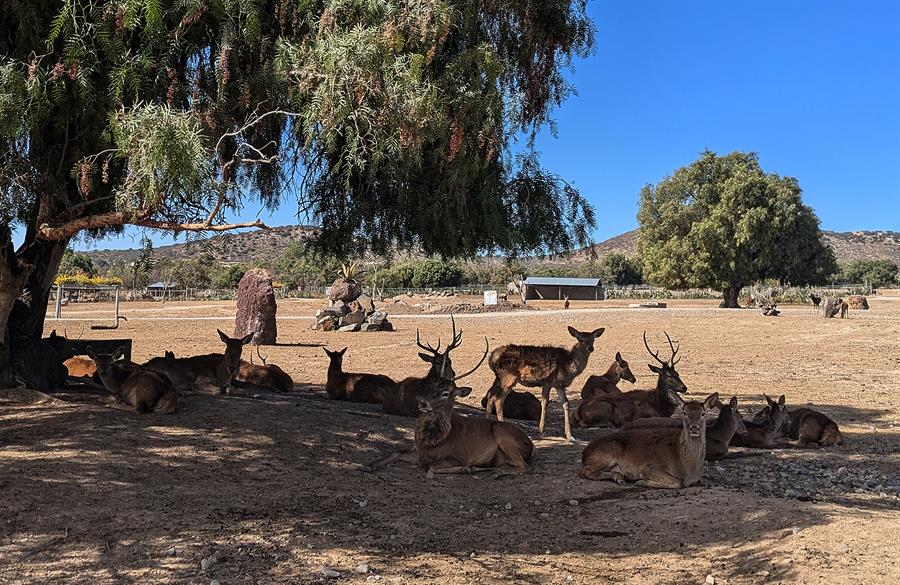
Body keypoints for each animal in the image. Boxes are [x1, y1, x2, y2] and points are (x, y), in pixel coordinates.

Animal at [580, 392, 720, 488]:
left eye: (703, 413)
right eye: (684, 412)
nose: (694, 429)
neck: (689, 468)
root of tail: (584, 453)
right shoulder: (651, 467)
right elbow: (678, 483)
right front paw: (641, 481)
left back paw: (619, 477)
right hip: (604, 456)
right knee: (584, 472)